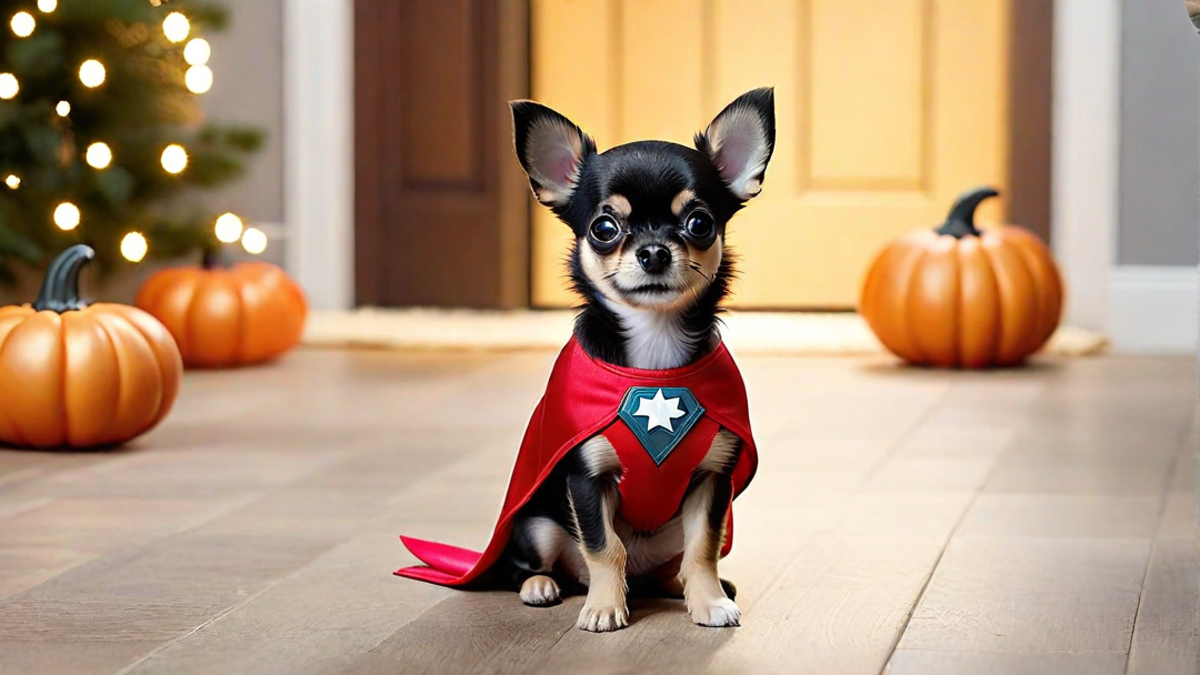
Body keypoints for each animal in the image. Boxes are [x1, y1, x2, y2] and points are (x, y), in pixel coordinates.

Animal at [499, 86, 772, 629]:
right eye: (604, 228)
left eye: (699, 223)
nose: (653, 252)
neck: (654, 350)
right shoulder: (586, 479)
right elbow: (605, 547)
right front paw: (605, 608)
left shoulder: (712, 480)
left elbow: (703, 548)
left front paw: (709, 601)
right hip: (539, 523)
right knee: (539, 562)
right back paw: (543, 585)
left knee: (670, 565)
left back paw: (681, 586)